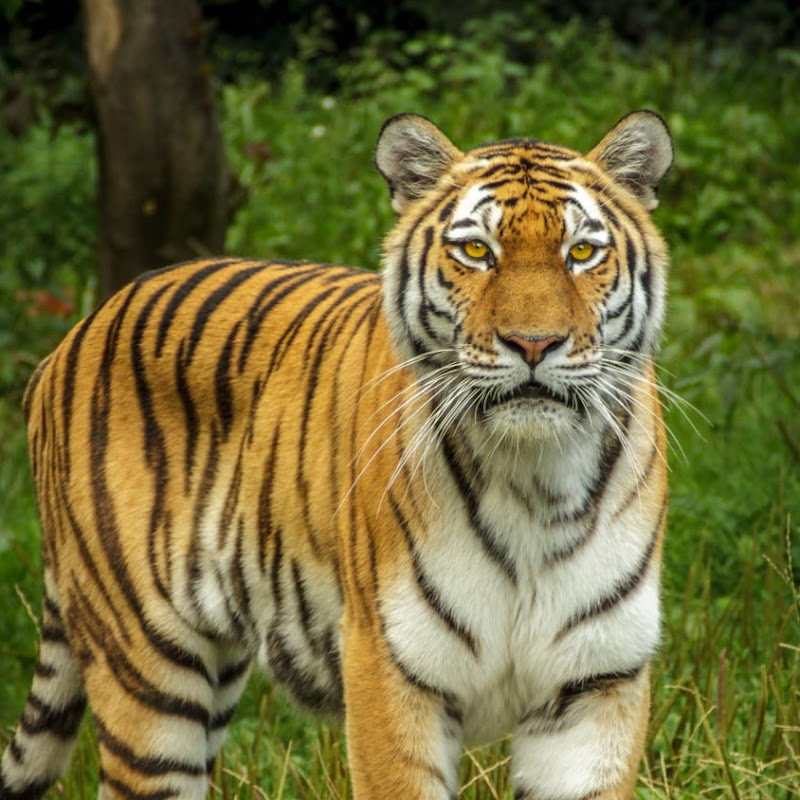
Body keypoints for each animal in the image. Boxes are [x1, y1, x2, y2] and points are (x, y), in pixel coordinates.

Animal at [0, 110, 672, 800]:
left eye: (582, 252)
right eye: (477, 252)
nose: (533, 343)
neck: (538, 481)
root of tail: (73, 337)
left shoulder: (597, 682)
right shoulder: (389, 666)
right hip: (148, 676)